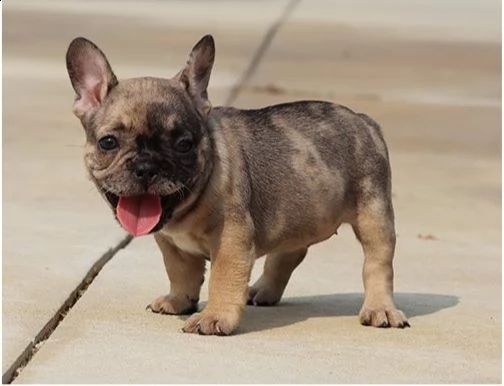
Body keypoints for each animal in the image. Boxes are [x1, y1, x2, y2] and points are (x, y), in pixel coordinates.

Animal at [65, 34, 410, 334]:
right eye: (108, 142)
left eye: (184, 144)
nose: (146, 167)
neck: (188, 205)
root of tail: (364, 119)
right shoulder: (171, 244)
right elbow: (180, 273)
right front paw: (178, 302)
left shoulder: (231, 239)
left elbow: (222, 279)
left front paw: (214, 317)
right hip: (298, 213)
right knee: (288, 253)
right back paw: (262, 290)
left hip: (373, 215)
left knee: (377, 263)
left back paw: (380, 309)